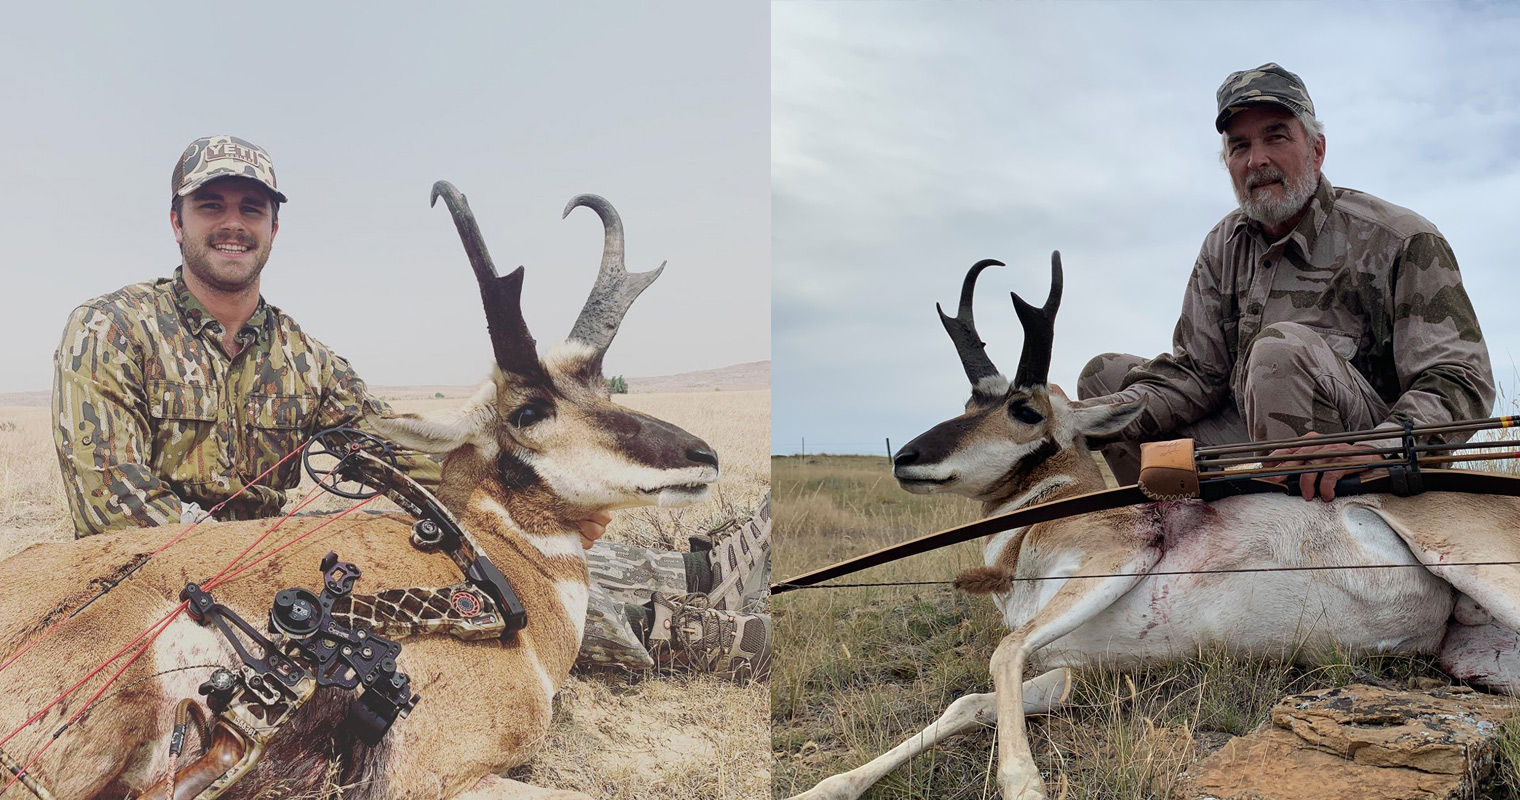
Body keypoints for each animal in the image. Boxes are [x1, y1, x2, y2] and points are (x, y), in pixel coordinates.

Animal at [789, 254, 1520, 800]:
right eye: (970, 401)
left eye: (1024, 409)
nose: (906, 458)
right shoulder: (1070, 670)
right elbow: (969, 700)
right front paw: (825, 786)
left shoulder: (1112, 561)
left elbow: (1002, 652)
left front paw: (1023, 782)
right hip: (1475, 651)